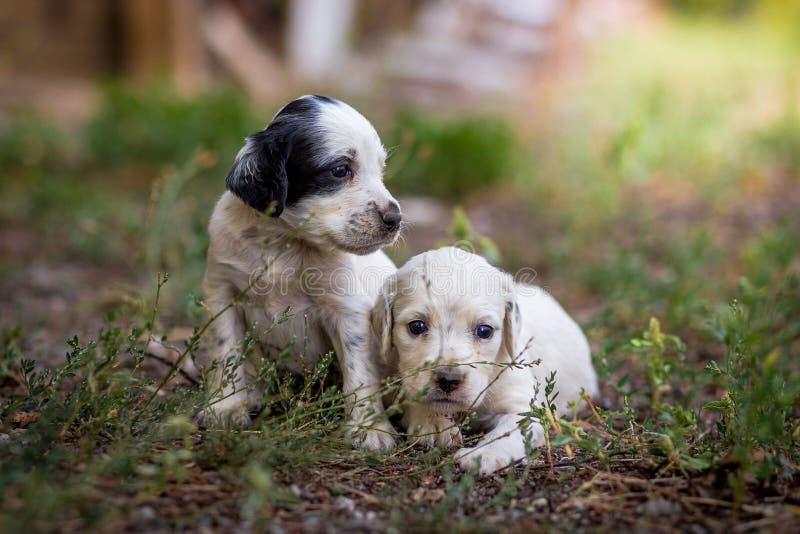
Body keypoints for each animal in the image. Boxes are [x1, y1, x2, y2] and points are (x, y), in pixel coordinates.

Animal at [200, 96, 400, 452]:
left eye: (380, 170)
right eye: (340, 170)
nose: (396, 219)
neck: (283, 241)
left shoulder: (347, 310)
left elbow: (359, 372)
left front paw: (370, 428)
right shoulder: (222, 292)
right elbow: (226, 353)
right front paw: (225, 407)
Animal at [372, 248, 596, 478]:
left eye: (484, 331)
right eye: (417, 326)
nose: (448, 379)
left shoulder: (523, 408)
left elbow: (508, 433)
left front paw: (483, 455)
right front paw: (434, 421)